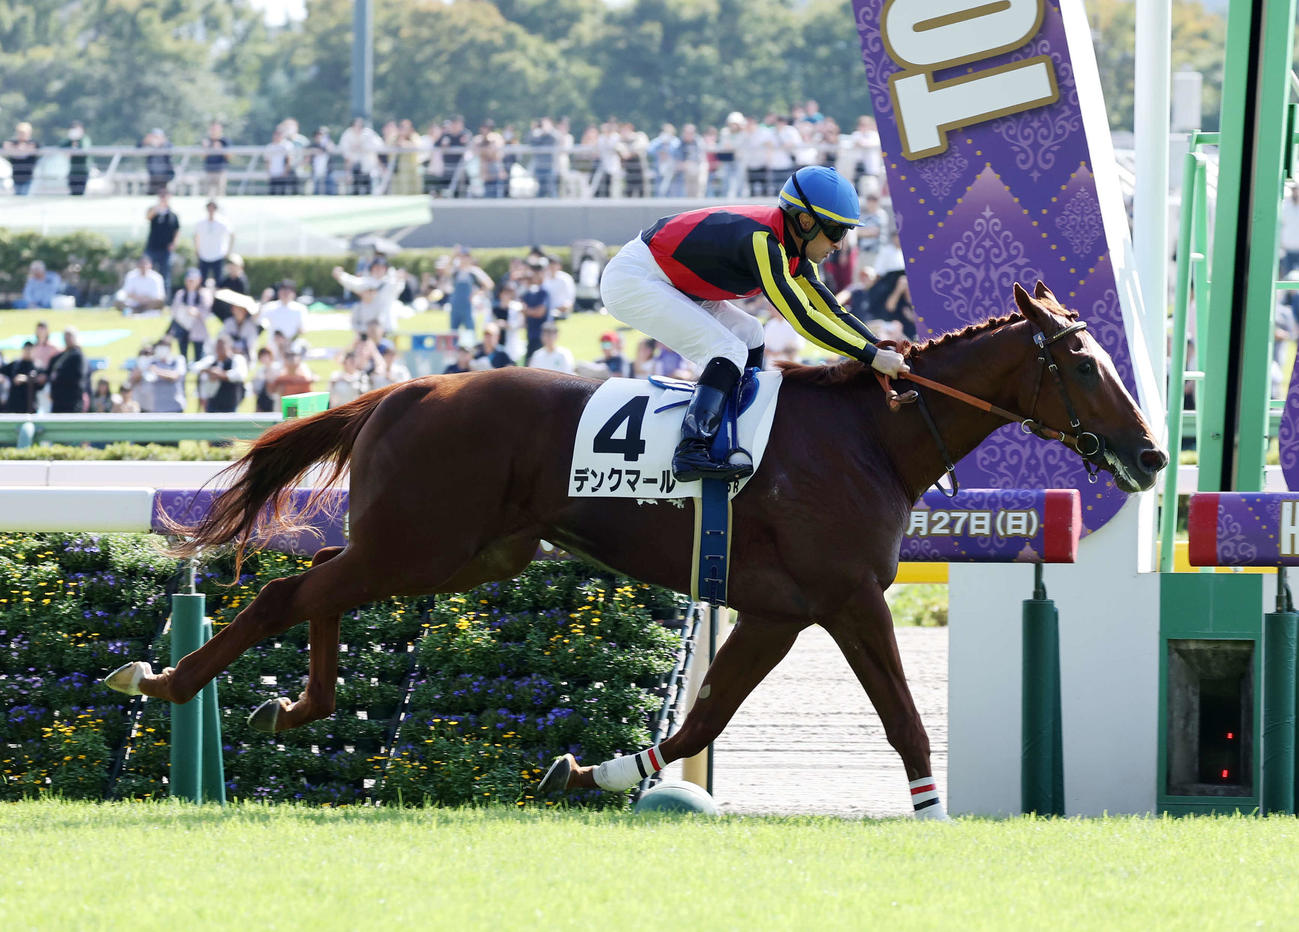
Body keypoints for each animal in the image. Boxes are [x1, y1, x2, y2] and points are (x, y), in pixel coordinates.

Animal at [105, 281, 1166, 817]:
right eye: (1081, 363)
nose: (1152, 453)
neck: (870, 435)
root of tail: (405, 388)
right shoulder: (848, 596)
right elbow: (903, 717)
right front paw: (931, 815)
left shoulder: (779, 609)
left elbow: (702, 721)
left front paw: (594, 773)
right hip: (422, 540)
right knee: (287, 597)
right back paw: (166, 680)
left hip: (471, 551)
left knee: (320, 585)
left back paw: (298, 703)